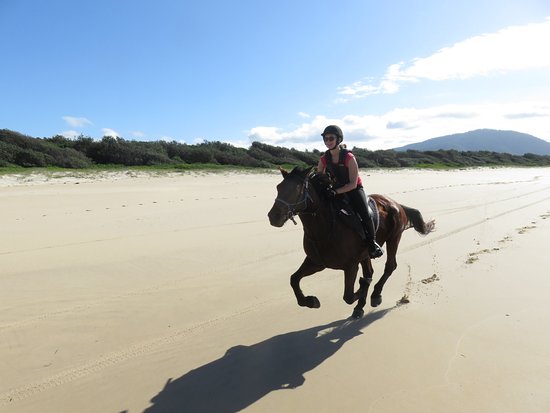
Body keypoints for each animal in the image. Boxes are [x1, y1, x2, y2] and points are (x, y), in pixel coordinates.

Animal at [270, 165, 438, 318]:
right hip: (366, 253)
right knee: (370, 272)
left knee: (390, 266)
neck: (325, 228)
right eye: (278, 187)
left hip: (394, 238)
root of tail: (396, 204)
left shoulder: (350, 266)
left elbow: (349, 296)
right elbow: (294, 279)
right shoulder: (316, 262)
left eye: (297, 190)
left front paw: (362, 288)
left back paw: (375, 295)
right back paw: (361, 304)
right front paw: (310, 301)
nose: (273, 216)